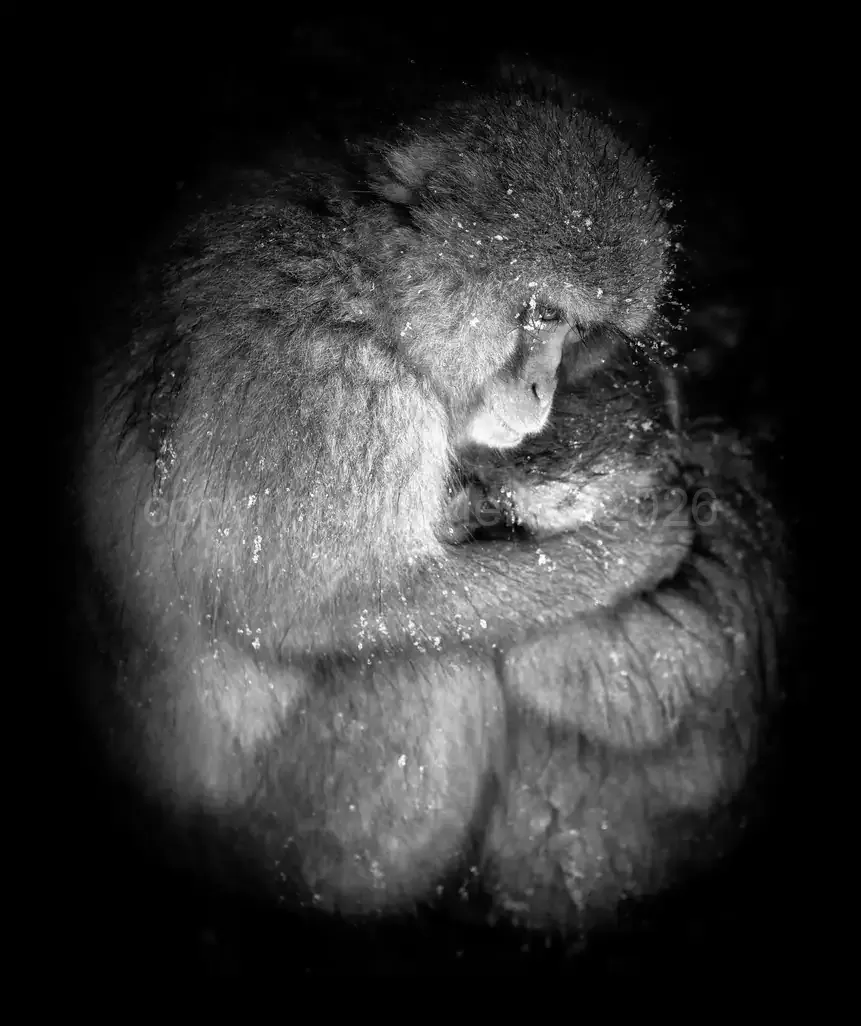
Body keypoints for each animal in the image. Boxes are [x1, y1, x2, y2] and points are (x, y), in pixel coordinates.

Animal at [72, 89, 786, 946]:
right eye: (540, 312)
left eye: (575, 329)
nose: (543, 391)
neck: (369, 290)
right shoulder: (342, 400)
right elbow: (308, 612)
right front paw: (630, 551)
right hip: (307, 845)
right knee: (442, 665)